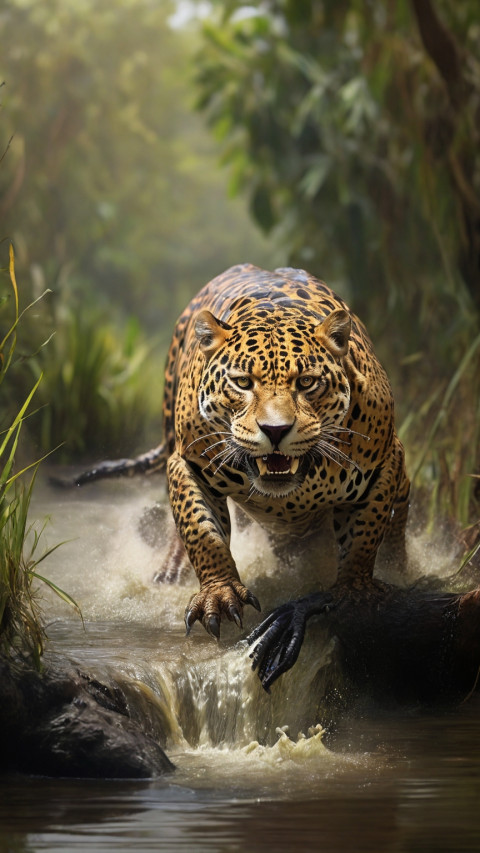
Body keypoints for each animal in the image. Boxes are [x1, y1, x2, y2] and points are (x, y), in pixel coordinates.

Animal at [76, 264, 410, 688]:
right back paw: (172, 569)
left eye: (306, 382)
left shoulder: (386, 461)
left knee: (396, 520)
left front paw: (355, 590)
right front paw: (218, 595)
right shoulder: (187, 464)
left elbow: (366, 533)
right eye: (243, 382)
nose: (276, 430)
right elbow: (201, 531)